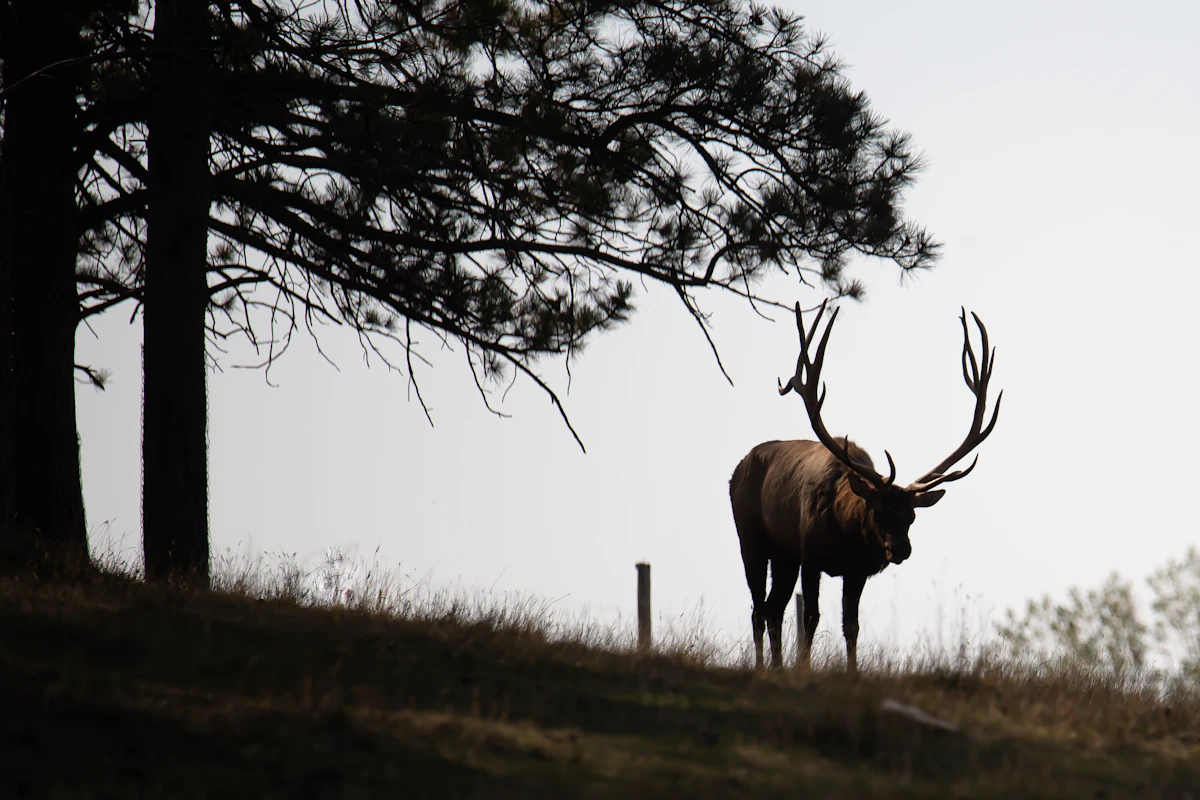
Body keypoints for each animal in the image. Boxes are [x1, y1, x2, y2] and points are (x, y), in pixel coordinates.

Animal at [729, 300, 1001, 674]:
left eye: (911, 517)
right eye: (879, 511)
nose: (900, 549)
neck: (845, 533)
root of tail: (738, 469)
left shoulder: (855, 570)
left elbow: (852, 625)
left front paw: (852, 673)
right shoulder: (811, 554)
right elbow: (811, 617)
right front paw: (804, 670)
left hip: (785, 554)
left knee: (774, 608)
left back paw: (777, 666)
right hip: (751, 537)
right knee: (759, 608)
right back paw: (762, 668)